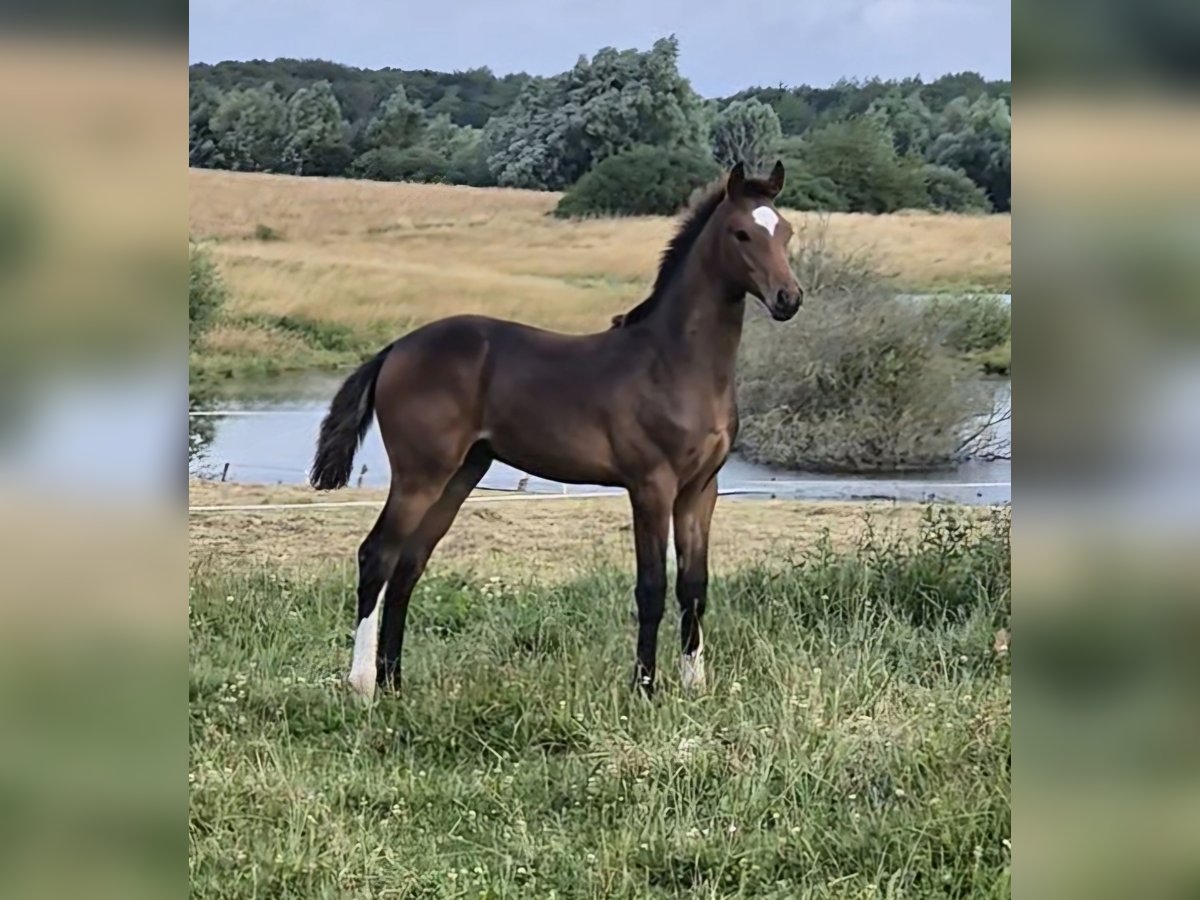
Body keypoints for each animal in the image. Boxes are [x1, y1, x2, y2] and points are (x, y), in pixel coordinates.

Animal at [309, 158, 801, 700]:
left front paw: (694, 686)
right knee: (377, 556)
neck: (674, 362)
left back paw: (395, 682)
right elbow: (651, 587)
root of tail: (396, 348)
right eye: (741, 233)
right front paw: (644, 687)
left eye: (786, 231)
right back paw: (363, 685)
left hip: (461, 474)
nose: (789, 298)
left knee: (407, 568)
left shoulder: (700, 490)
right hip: (420, 475)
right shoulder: (651, 486)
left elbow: (694, 587)